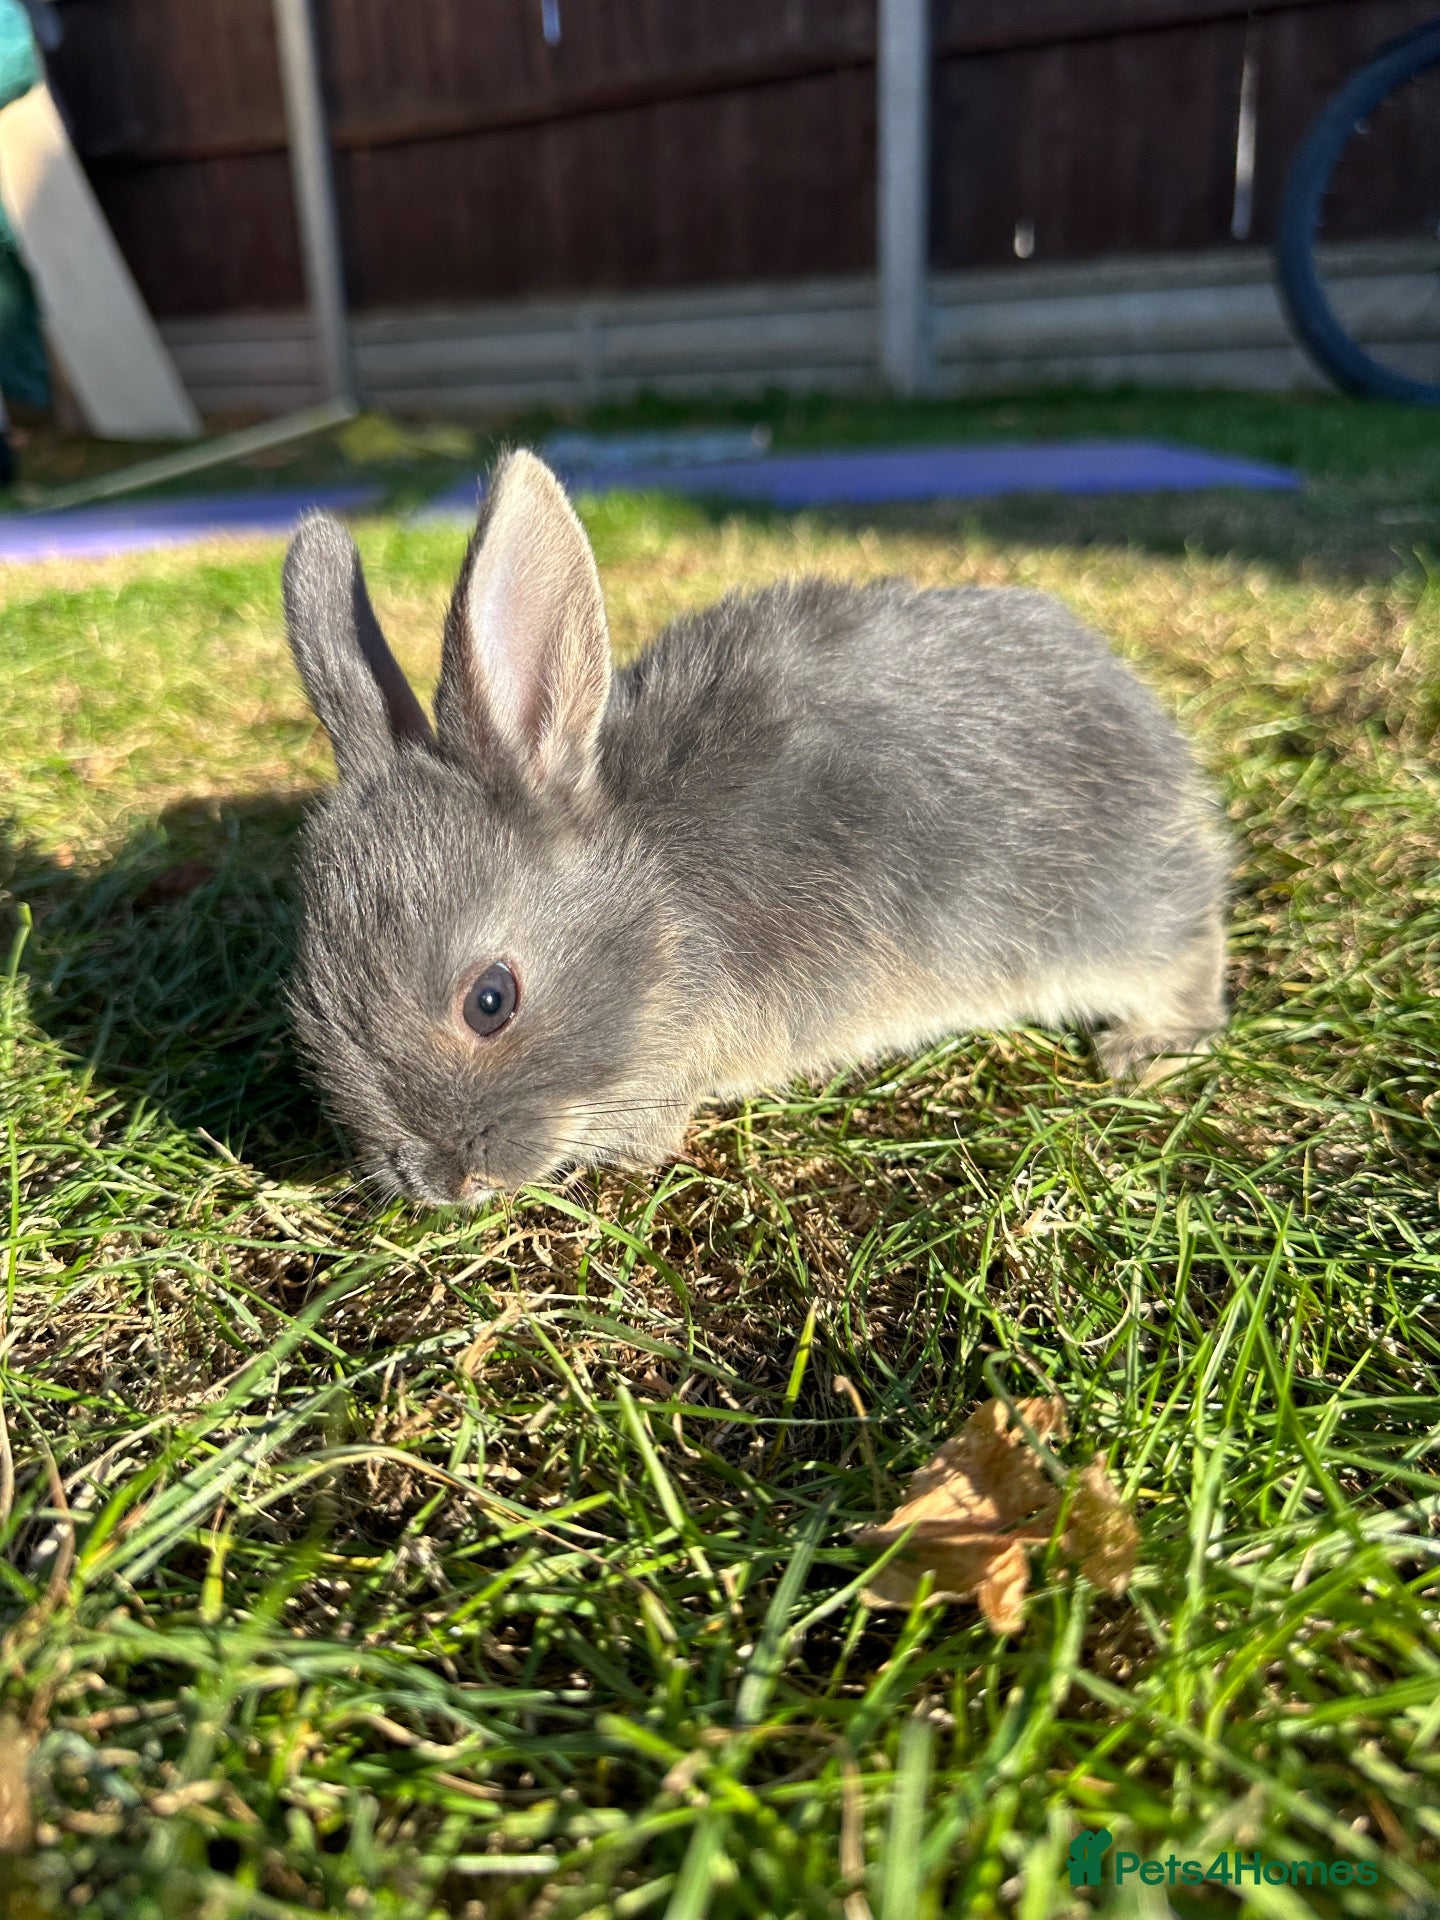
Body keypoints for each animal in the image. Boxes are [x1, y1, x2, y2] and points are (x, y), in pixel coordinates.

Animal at [281, 449, 1227, 1206]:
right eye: (313, 1009)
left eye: (490, 1001)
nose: (439, 1183)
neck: (656, 896)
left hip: (1113, 924)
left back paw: (1145, 1046)